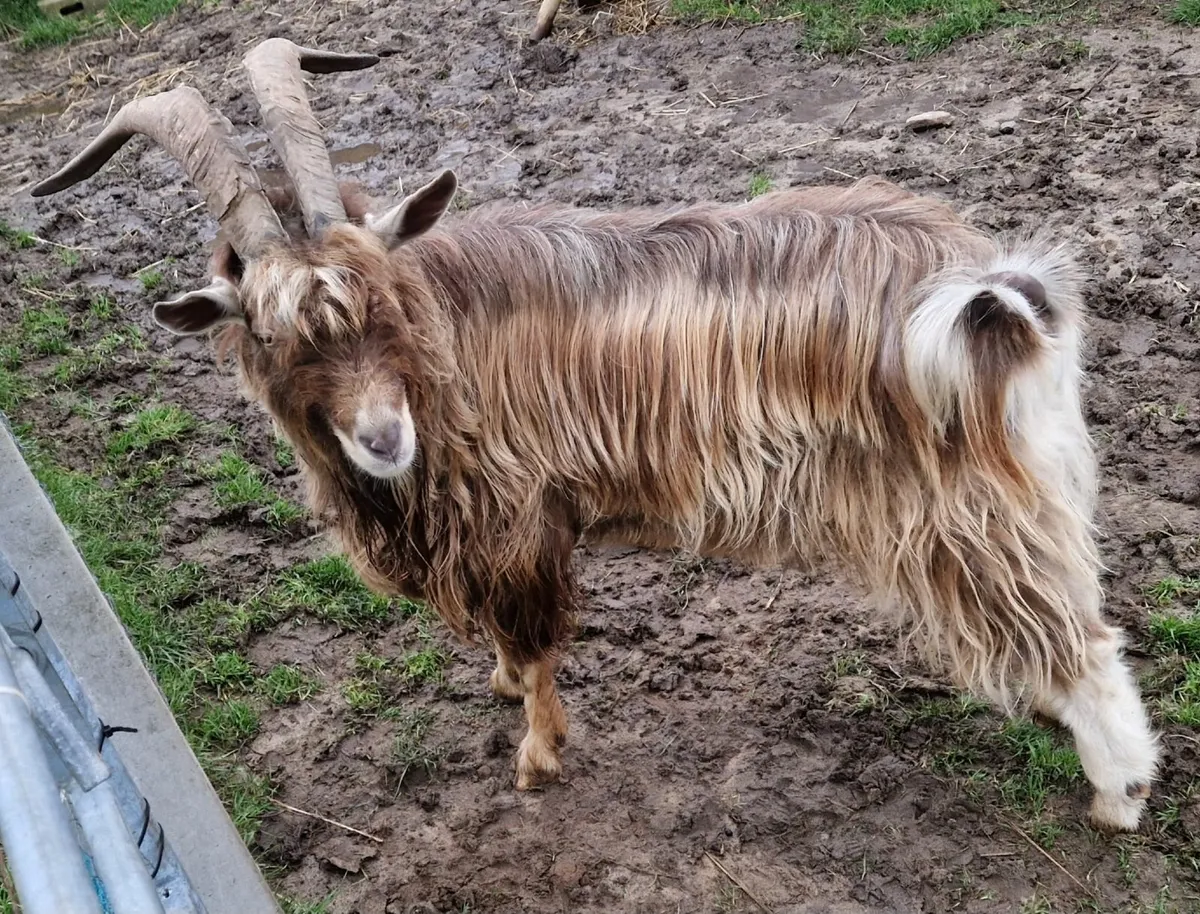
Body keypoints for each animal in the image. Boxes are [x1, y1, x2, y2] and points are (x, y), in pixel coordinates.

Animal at [32, 38, 1160, 833]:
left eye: (380, 298)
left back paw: (1117, 796)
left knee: (1084, 642)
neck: (445, 340)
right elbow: (504, 640)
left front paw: (536, 756)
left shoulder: (519, 518)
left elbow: (536, 646)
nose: (386, 439)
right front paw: (496, 683)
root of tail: (1002, 295)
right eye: (267, 331)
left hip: (965, 510)